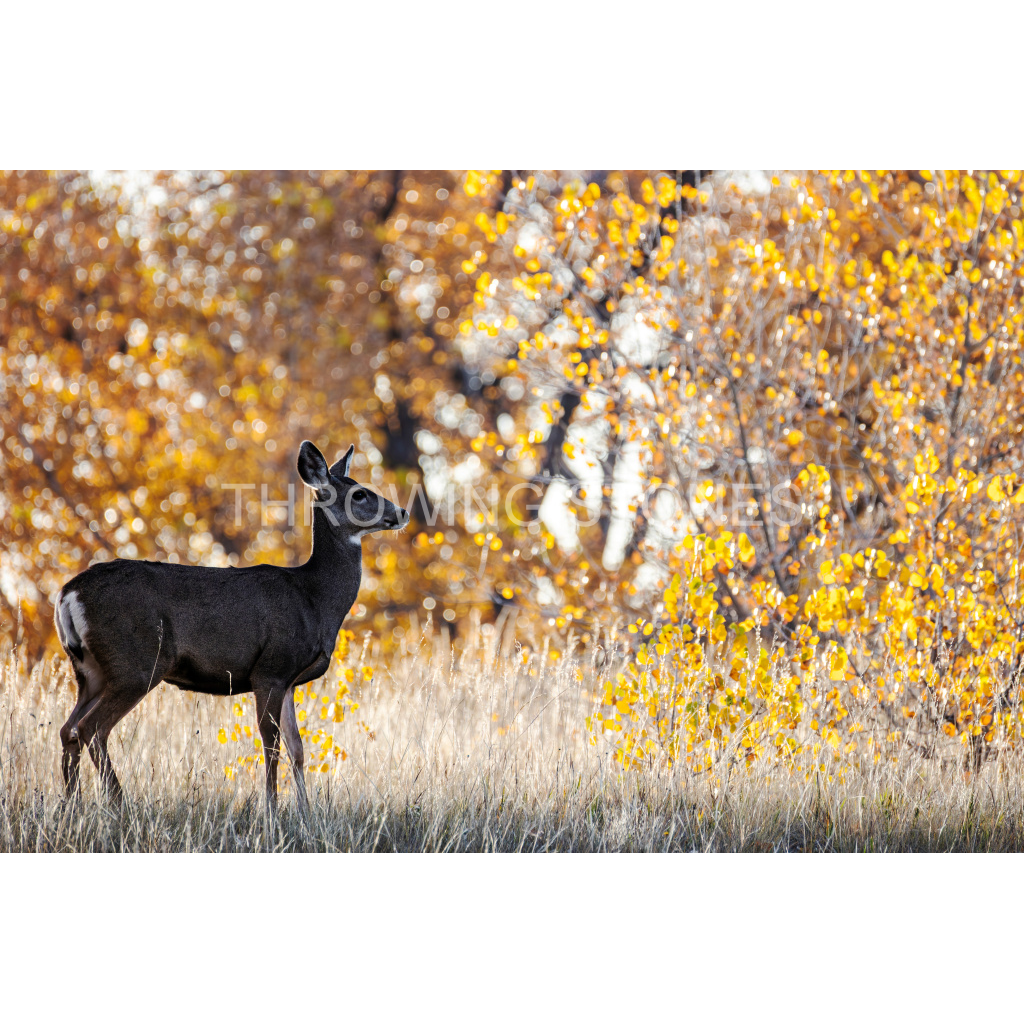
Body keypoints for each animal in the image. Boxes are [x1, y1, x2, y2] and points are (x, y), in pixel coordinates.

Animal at [53, 440, 409, 815]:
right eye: (360, 494)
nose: (401, 512)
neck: (315, 599)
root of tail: (67, 594)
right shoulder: (270, 668)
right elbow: (271, 745)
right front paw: (271, 810)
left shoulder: (289, 679)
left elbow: (297, 748)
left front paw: (306, 813)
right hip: (135, 663)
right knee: (92, 728)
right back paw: (119, 803)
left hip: (90, 670)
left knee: (68, 729)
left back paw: (72, 805)